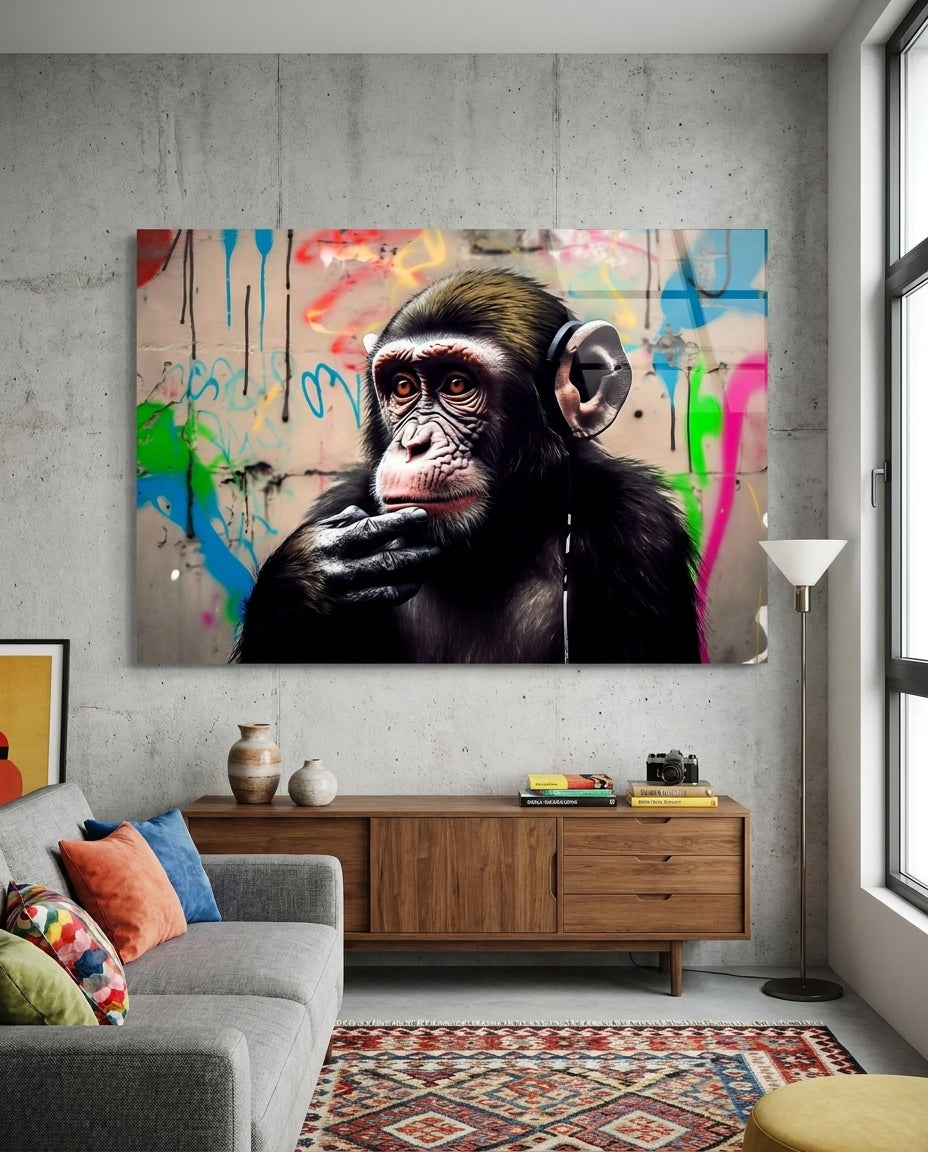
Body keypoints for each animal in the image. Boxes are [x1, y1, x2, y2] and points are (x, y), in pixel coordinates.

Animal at [232, 268, 704, 664]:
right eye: (402, 386)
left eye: (457, 384)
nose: (413, 443)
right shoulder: (342, 503)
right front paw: (305, 583)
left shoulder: (638, 528)